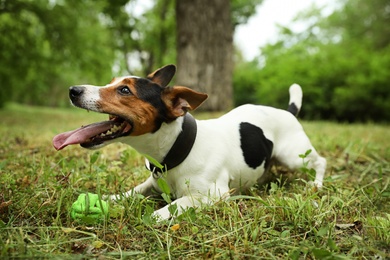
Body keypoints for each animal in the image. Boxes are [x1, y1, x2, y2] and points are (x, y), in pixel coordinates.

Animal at [52, 64, 326, 220]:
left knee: (320, 161)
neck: (179, 146)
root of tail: (288, 111)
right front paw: (109, 199)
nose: (73, 90)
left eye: (125, 90)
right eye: (111, 82)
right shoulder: (152, 183)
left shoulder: (212, 195)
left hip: (295, 156)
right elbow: (131, 192)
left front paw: (152, 217)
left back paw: (317, 184)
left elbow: (167, 210)